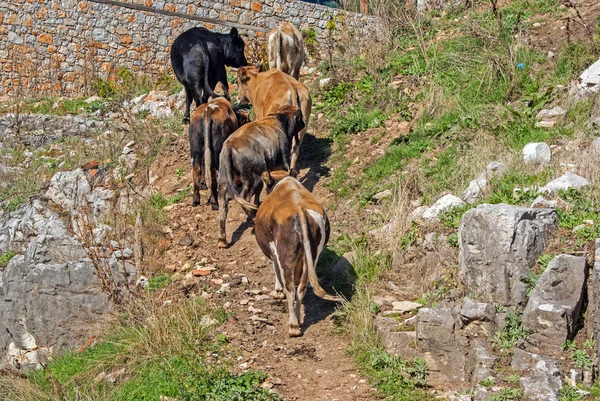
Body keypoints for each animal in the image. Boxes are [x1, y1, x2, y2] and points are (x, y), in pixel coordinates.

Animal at [216, 104, 304, 247]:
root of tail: (229, 146)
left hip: (224, 182)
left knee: (223, 207)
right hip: (252, 179)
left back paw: (222, 240)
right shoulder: (282, 160)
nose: (304, 123)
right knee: (244, 198)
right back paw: (253, 221)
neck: (281, 120)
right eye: (300, 116)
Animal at [253, 170, 342, 336]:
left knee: (289, 287)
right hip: (311, 256)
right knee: (301, 286)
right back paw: (298, 319)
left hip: (285, 256)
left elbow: (276, 270)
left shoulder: (274, 253)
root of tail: (299, 209)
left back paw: (293, 325)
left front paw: (277, 291)